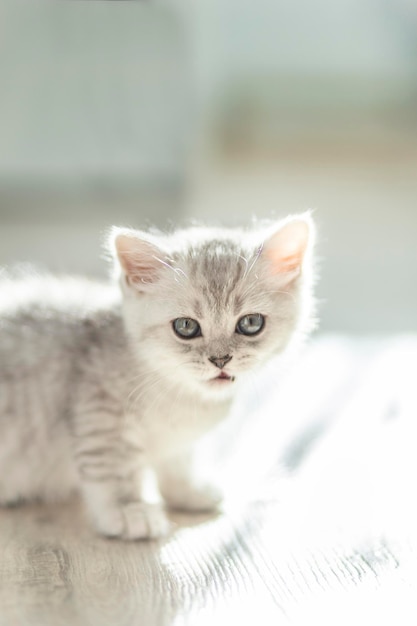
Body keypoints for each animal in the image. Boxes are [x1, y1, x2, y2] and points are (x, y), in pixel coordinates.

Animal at [0, 214, 314, 536]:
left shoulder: (177, 439)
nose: (220, 359)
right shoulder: (101, 411)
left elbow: (178, 461)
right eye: (186, 327)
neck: (181, 395)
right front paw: (128, 510)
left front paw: (188, 492)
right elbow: (112, 466)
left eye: (250, 323)